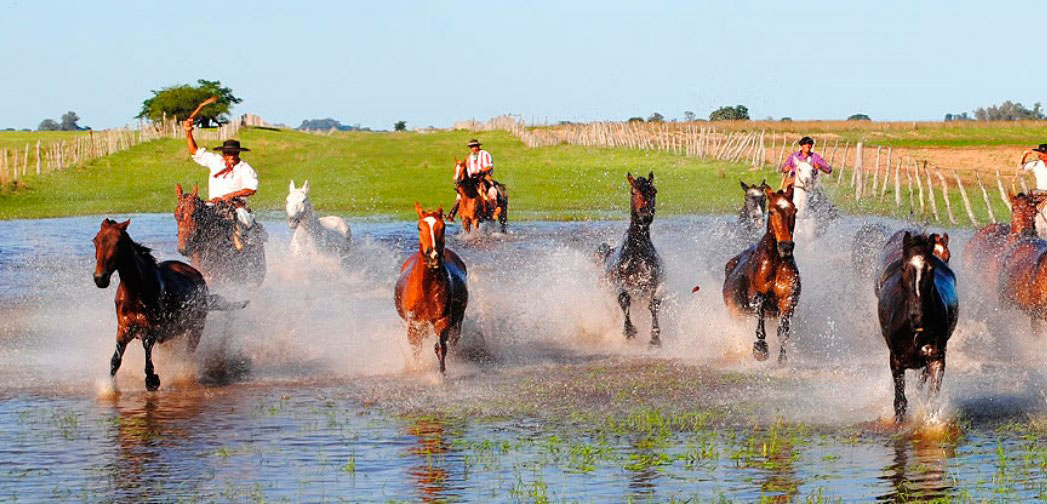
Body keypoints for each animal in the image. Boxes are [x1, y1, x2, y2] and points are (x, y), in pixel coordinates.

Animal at [90, 216, 244, 389]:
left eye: (117, 242)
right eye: (95, 240)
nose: (100, 278)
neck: (136, 293)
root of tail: (199, 278)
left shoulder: (152, 329)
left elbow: (147, 351)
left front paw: (152, 380)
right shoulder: (123, 329)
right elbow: (115, 360)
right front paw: (109, 389)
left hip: (196, 328)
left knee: (188, 353)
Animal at [393, 202, 469, 370]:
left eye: (443, 227)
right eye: (419, 227)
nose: (433, 257)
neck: (426, 289)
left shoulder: (442, 320)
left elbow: (440, 347)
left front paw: (442, 372)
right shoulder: (414, 324)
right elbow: (416, 349)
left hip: (458, 319)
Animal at [598, 170, 661, 343]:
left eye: (654, 191)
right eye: (633, 191)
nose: (645, 215)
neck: (637, 255)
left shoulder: (653, 283)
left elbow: (654, 303)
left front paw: (655, 338)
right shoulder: (621, 284)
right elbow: (624, 299)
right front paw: (629, 331)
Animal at [720, 184, 799, 360]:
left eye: (794, 210)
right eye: (772, 211)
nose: (785, 246)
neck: (776, 262)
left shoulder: (788, 299)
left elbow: (783, 331)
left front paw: (782, 360)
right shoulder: (756, 296)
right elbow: (760, 313)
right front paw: (760, 349)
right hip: (736, 312)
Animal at [875, 229, 959, 423]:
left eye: (931, 268)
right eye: (905, 268)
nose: (917, 315)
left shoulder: (936, 358)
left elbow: (932, 398)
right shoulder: (896, 360)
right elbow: (900, 402)